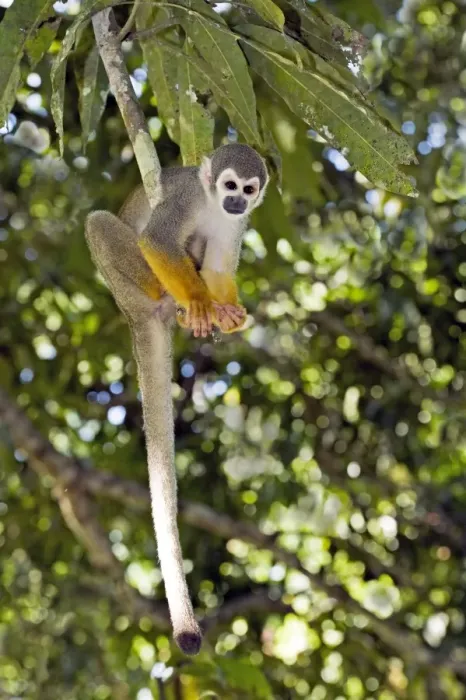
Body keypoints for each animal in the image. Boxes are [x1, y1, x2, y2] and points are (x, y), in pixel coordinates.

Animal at [85, 143, 268, 655]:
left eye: (249, 190)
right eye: (229, 185)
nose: (236, 202)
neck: (211, 205)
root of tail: (134, 314)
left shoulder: (238, 226)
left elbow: (222, 265)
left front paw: (225, 306)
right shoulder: (185, 199)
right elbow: (159, 241)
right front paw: (202, 301)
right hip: (128, 288)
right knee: (101, 223)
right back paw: (176, 296)